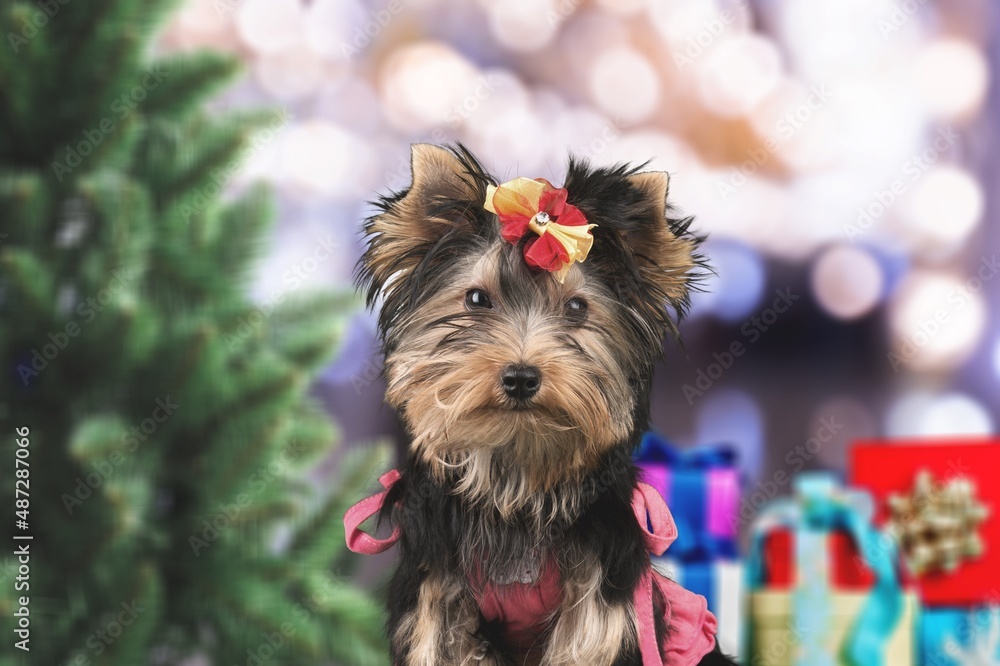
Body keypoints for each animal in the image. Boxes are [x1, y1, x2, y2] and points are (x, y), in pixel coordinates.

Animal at [350, 143, 736, 660]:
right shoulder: (438, 600)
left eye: (576, 308)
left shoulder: (598, 607)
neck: (518, 474)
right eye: (477, 299)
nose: (520, 377)